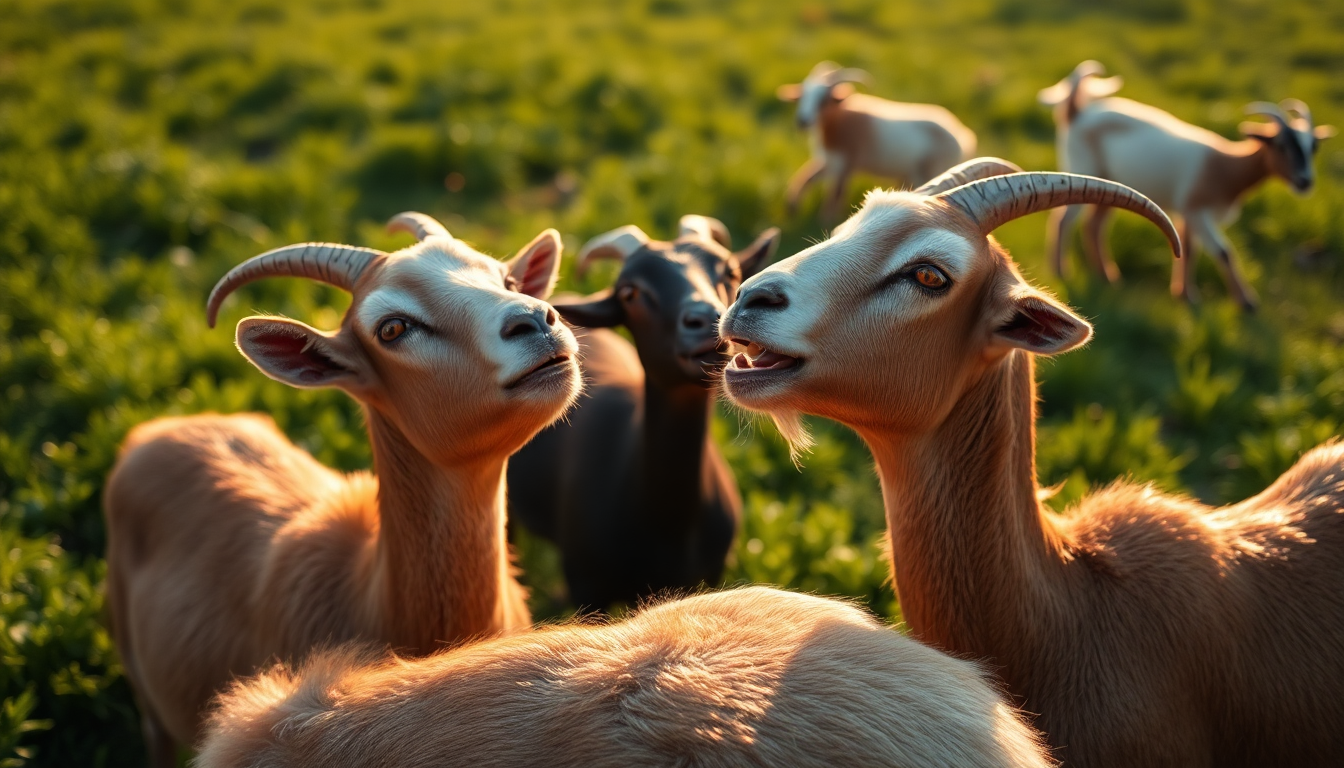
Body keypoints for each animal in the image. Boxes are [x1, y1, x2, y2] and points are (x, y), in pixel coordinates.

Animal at [778, 61, 977, 222]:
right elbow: (807, 177)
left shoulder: (846, 162)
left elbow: (836, 193)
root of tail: (962, 135)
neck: (839, 120)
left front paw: (826, 223)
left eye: (823, 100)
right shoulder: (831, 160)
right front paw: (792, 208)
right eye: (802, 96)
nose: (803, 121)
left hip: (934, 170)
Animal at [1039, 60, 1335, 310]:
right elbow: (1224, 252)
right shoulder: (1197, 211)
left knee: (1093, 226)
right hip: (1082, 173)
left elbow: (1190, 250)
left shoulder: (1188, 215)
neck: (1225, 165)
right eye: (1282, 146)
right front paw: (1247, 303)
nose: (1305, 182)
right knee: (1064, 220)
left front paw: (1185, 295)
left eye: (1314, 147)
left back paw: (1108, 277)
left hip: (1109, 188)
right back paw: (1061, 272)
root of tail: (1077, 112)